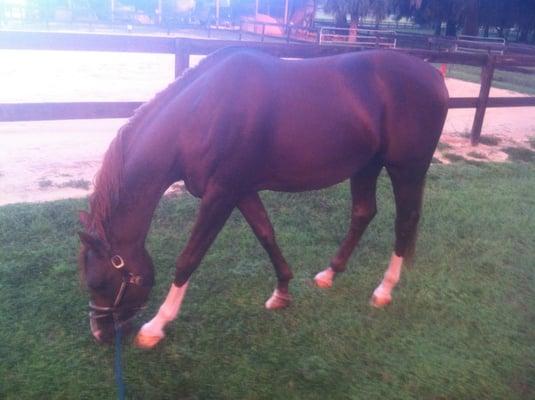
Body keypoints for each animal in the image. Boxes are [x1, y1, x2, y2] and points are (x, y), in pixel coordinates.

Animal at [77, 46, 450, 346]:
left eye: (98, 281)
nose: (100, 333)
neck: (202, 113)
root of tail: (432, 74)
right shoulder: (241, 190)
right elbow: (266, 233)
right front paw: (281, 292)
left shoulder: (221, 194)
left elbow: (190, 257)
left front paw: (156, 325)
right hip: (366, 165)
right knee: (363, 212)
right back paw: (329, 274)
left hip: (406, 168)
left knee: (405, 222)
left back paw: (384, 290)